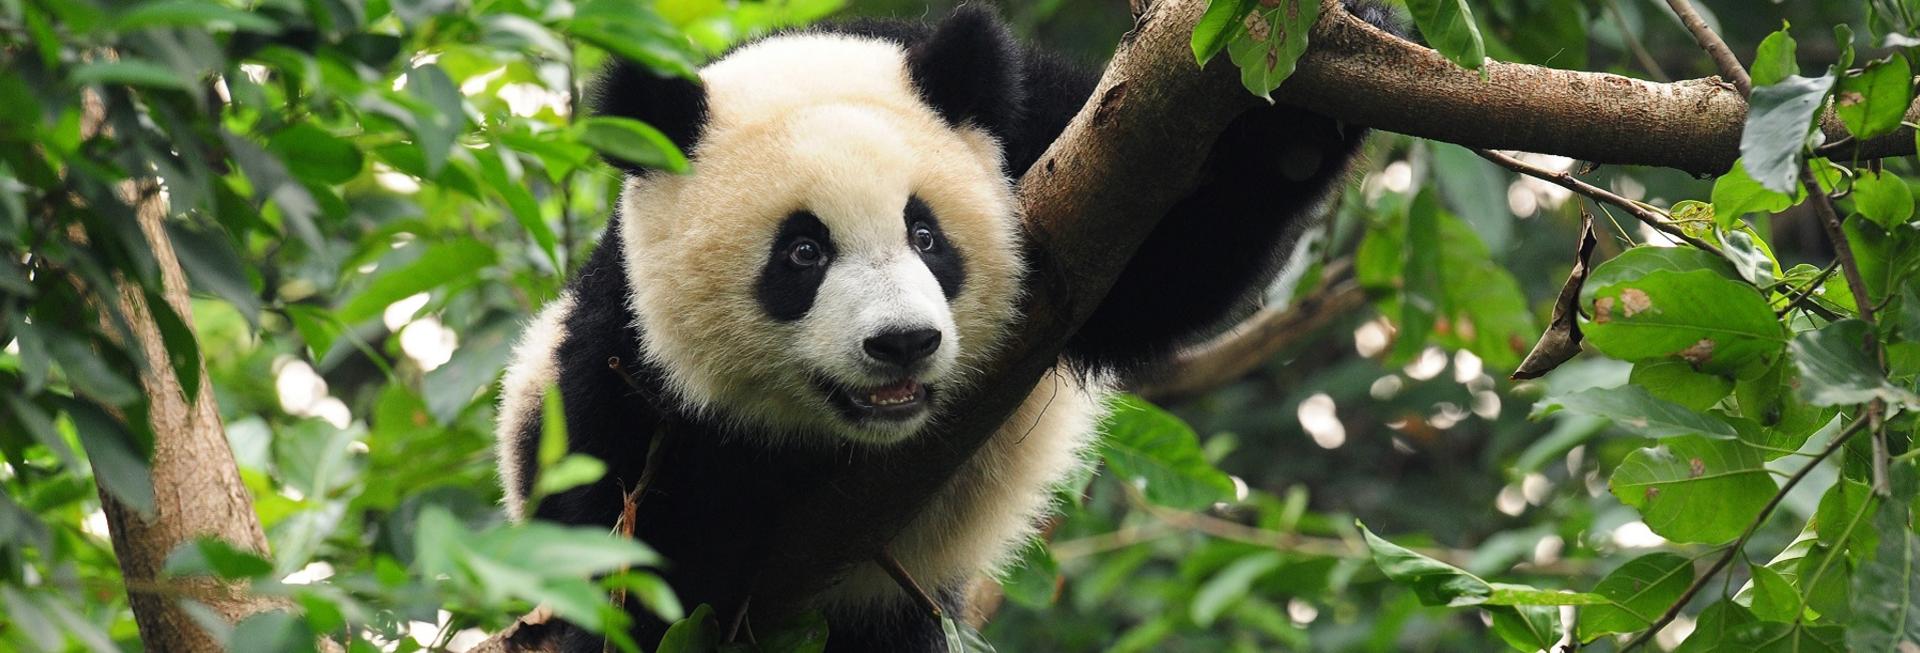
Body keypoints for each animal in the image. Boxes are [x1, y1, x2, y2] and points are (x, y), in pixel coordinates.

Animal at [495, 3, 1398, 651]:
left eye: (925, 235)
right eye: (801, 253)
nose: (901, 342)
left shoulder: (1047, 139)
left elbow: (1173, 262)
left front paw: (1322, 73)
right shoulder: (620, 362)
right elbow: (629, 547)